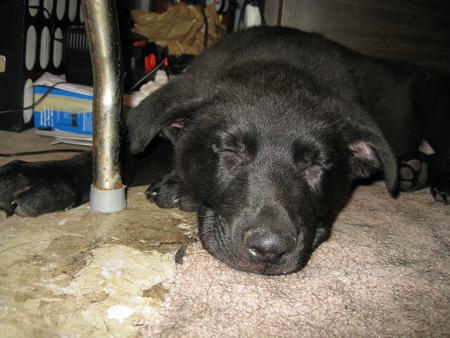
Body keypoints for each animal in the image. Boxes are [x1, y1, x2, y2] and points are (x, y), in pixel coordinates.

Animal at [0, 26, 450, 274]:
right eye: (229, 150)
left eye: (317, 165)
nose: (269, 250)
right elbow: (121, 153)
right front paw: (38, 177)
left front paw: (177, 187)